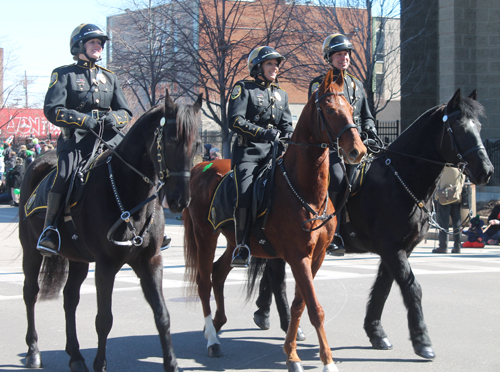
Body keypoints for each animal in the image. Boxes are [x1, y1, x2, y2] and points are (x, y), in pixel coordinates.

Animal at [19, 91, 203, 372]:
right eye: (171, 141)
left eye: (198, 145)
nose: (179, 200)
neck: (130, 194)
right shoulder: (106, 265)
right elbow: (104, 319)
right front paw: (100, 364)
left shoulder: (150, 261)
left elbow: (162, 314)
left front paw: (171, 364)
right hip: (31, 250)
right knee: (31, 293)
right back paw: (33, 351)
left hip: (78, 258)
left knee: (70, 298)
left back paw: (75, 355)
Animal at [183, 70, 368, 372]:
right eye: (330, 110)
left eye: (352, 109)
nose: (358, 151)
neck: (306, 190)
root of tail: (201, 166)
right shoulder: (297, 256)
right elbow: (314, 308)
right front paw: (326, 360)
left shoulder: (316, 257)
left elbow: (299, 305)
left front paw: (291, 353)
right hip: (205, 236)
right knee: (203, 281)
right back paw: (212, 338)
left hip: (235, 241)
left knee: (218, 273)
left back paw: (219, 323)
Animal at [248, 88, 494, 360]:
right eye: (459, 128)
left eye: (478, 126)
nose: (486, 171)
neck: (400, 177)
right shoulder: (392, 248)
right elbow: (412, 288)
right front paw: (422, 340)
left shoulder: (399, 249)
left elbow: (383, 289)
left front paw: (376, 332)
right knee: (277, 277)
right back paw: (286, 323)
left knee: (270, 274)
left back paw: (264, 314)